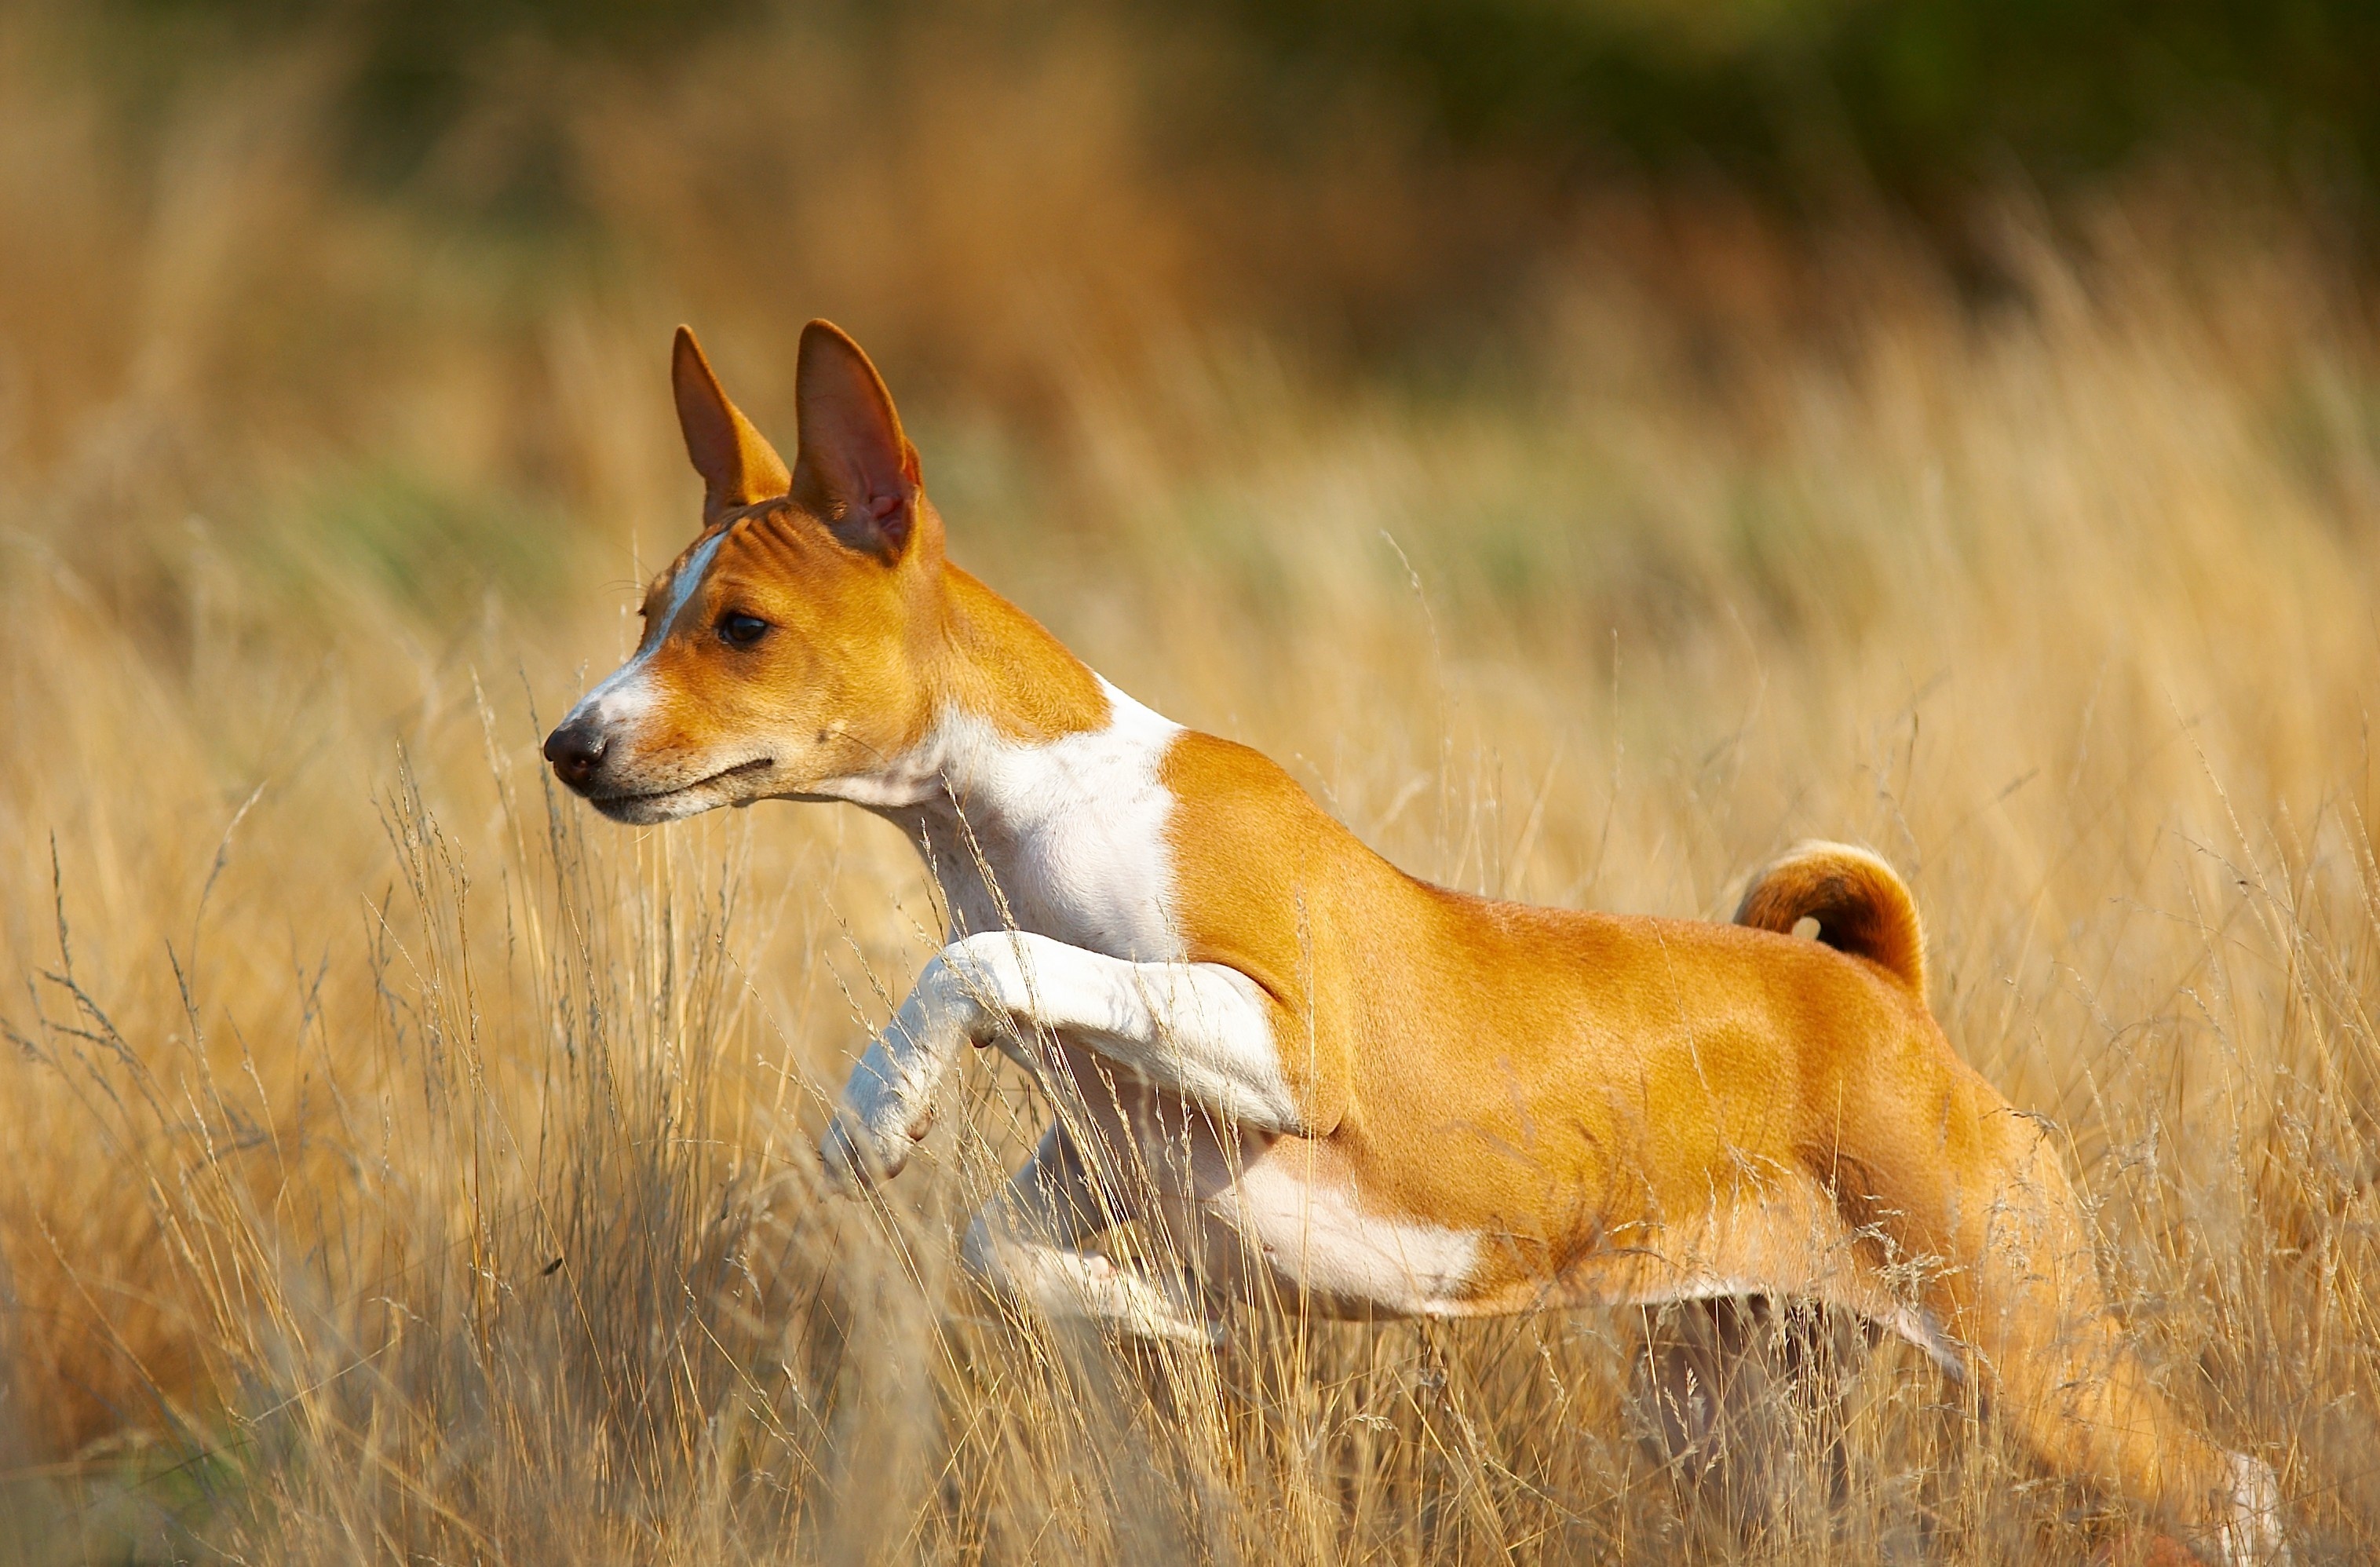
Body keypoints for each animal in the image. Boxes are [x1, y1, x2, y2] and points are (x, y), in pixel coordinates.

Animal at [540, 321, 2284, 1562]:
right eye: (644, 613)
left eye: (741, 629)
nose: (568, 744)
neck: (1027, 819)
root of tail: (1880, 994)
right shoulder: (1103, 1155)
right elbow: (1007, 1245)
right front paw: (1164, 1317)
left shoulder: (1282, 1040)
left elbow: (986, 970)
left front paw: (877, 1100)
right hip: (1735, 1411)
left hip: (2033, 1352)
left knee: (2241, 1489)